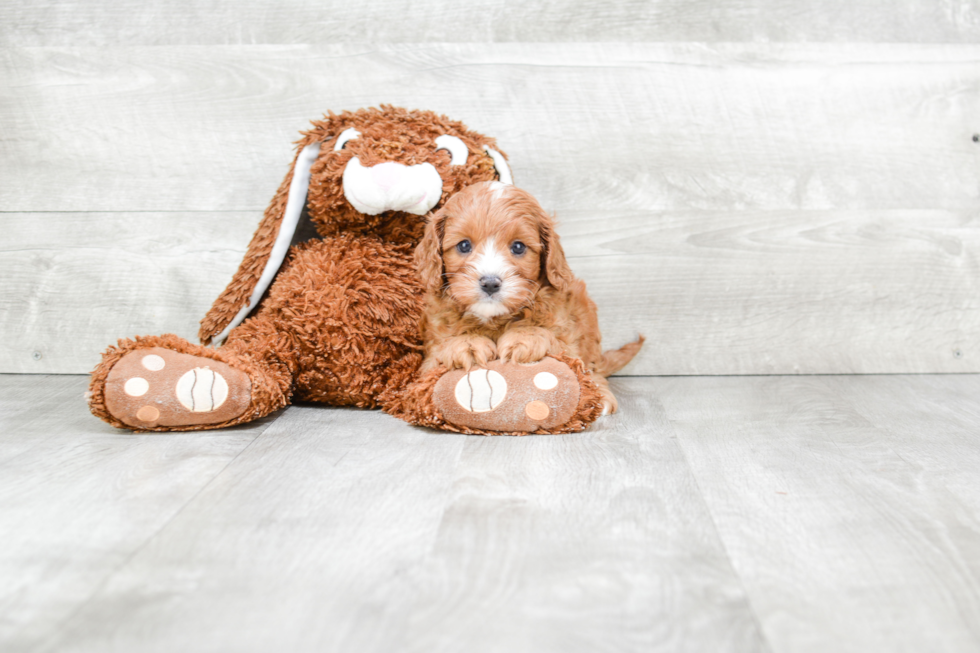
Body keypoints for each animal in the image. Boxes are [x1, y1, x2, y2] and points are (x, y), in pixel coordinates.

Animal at [414, 180, 644, 412]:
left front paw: (524, 337)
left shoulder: (568, 340)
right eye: (464, 245)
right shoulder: (429, 358)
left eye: (518, 247)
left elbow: (558, 345)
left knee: (592, 366)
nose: (490, 283)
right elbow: (441, 352)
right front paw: (466, 343)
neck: (494, 319)